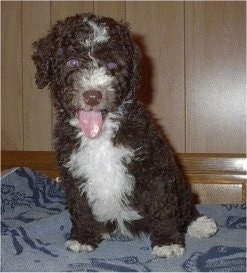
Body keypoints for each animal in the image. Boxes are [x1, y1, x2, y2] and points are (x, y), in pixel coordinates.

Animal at [31, 13, 218, 258]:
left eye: (112, 65)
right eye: (72, 62)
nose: (93, 96)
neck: (100, 135)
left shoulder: (154, 168)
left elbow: (163, 205)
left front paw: (167, 241)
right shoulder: (73, 174)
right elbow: (81, 207)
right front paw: (83, 237)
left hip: (179, 182)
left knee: (185, 204)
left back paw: (199, 224)